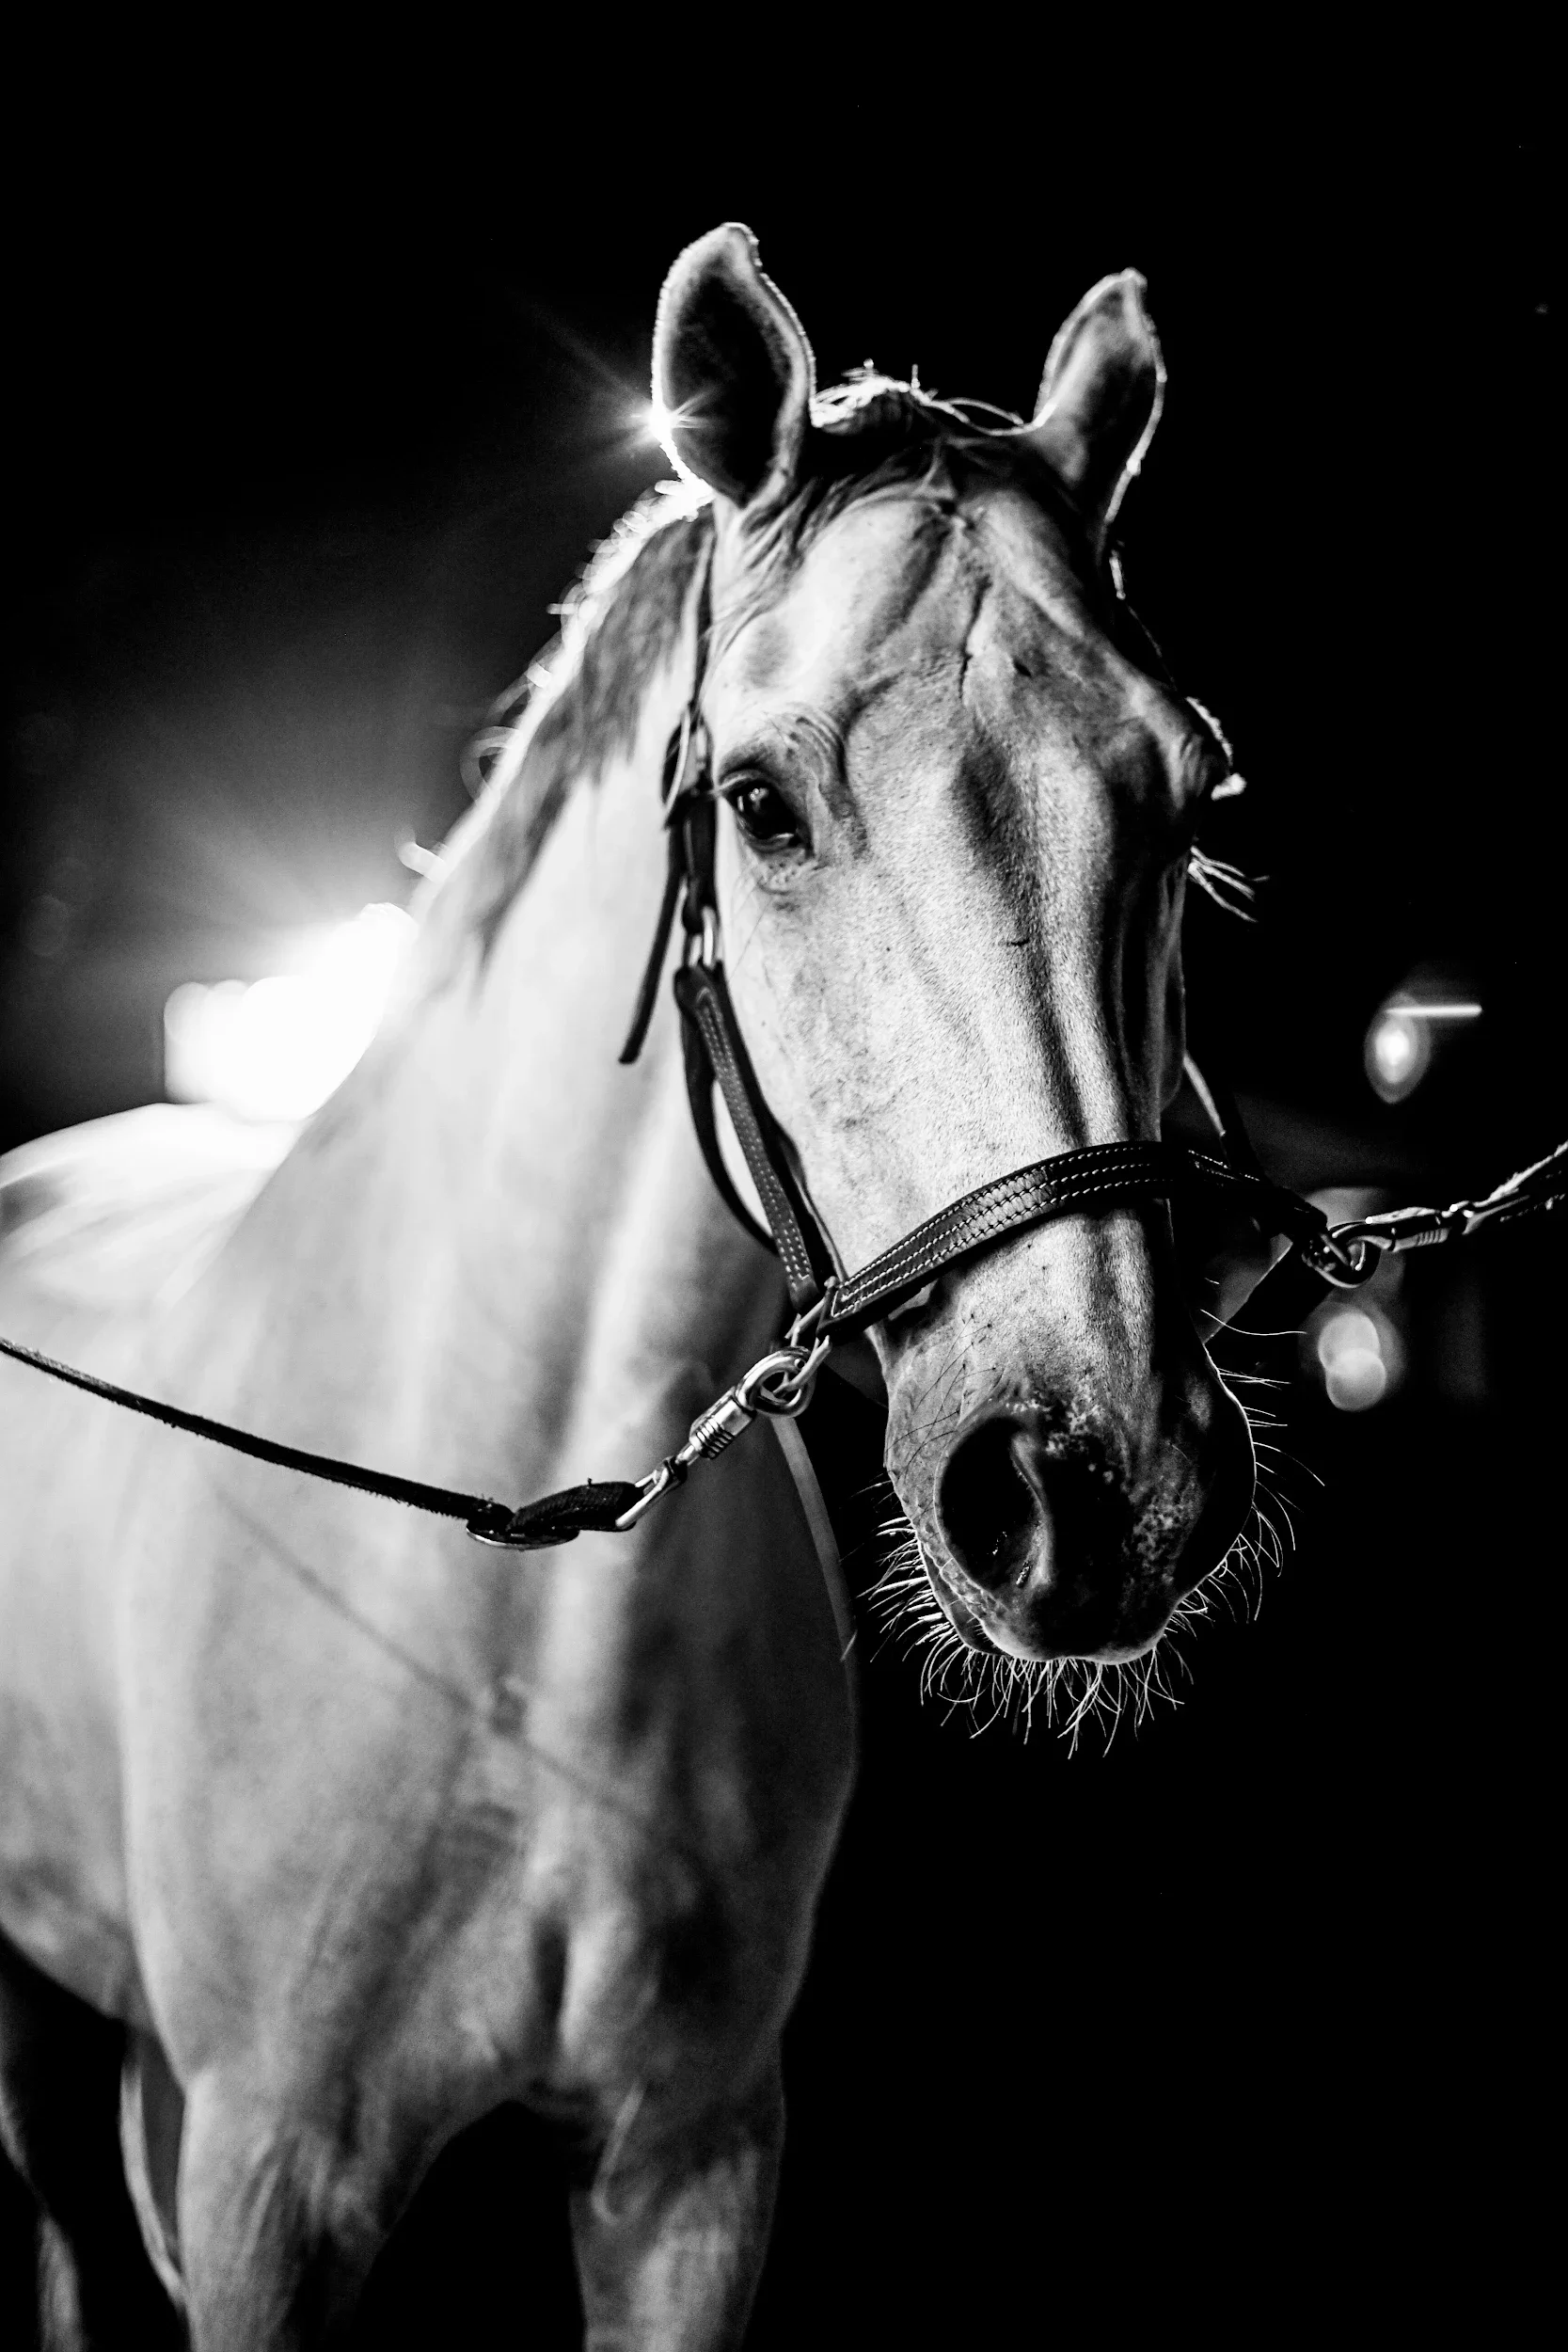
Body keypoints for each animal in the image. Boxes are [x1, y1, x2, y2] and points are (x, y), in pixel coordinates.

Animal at [0, 222, 1264, 2348]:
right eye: (758, 802)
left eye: (1187, 796)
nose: (1092, 1489)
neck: (515, 1606)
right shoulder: (267, 2181)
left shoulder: (689, 2171)